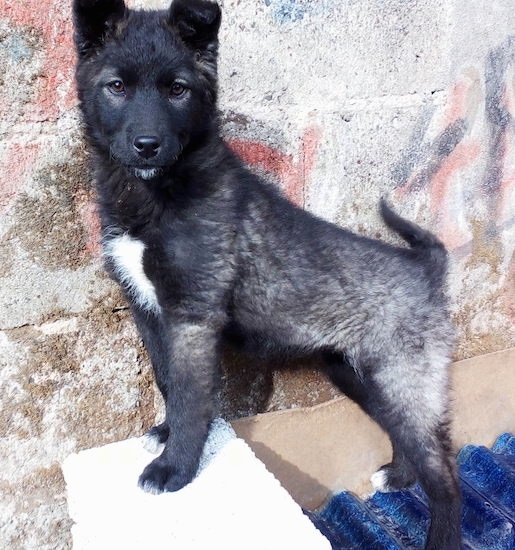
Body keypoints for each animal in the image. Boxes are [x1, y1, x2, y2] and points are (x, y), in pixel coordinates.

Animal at [73, 0, 464, 548]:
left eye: (178, 89)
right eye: (116, 86)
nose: (147, 144)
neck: (158, 192)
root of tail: (424, 267)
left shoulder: (193, 317)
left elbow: (192, 395)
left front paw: (175, 468)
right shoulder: (149, 312)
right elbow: (169, 382)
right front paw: (167, 436)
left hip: (407, 377)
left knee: (446, 474)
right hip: (363, 375)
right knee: (408, 438)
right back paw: (399, 475)